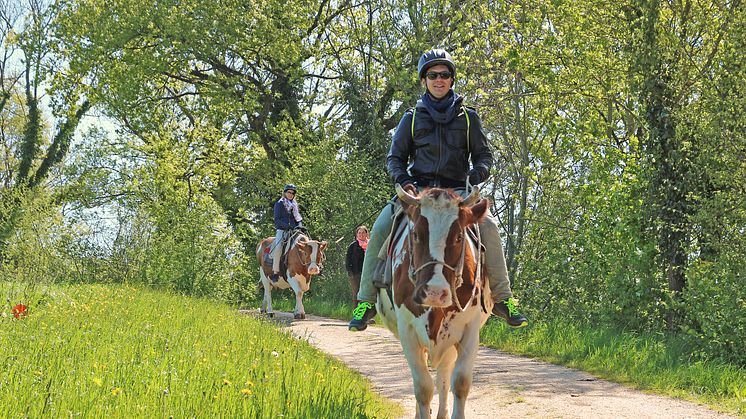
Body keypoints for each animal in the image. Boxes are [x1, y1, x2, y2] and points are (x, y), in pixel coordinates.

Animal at [374, 186, 492, 419]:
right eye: (416, 234)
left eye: (458, 236)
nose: (435, 292)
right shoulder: (408, 332)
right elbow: (422, 387)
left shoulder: (470, 330)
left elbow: (460, 383)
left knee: (444, 375)